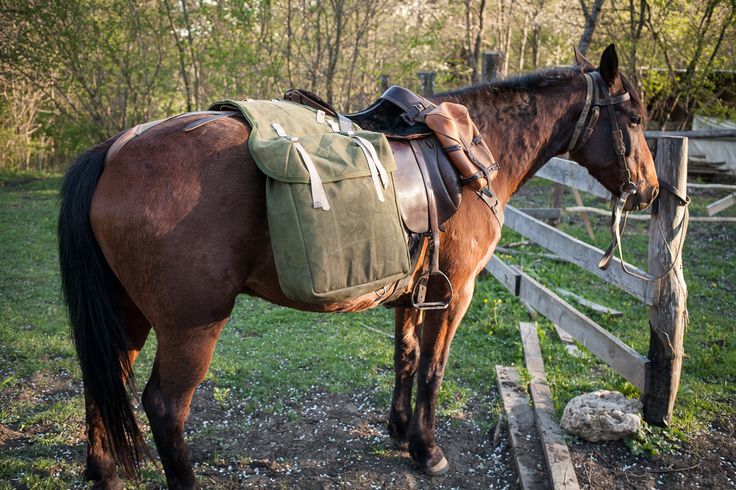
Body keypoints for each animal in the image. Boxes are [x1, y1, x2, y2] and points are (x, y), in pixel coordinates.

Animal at [59, 45, 656, 486]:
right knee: (164, 406)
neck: (472, 152)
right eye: (632, 118)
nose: (650, 190)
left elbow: (406, 358)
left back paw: (103, 470)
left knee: (105, 376)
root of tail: (114, 150)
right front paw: (427, 449)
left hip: (127, 314)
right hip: (190, 327)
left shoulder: (415, 292)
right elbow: (433, 370)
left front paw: (400, 430)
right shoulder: (455, 294)